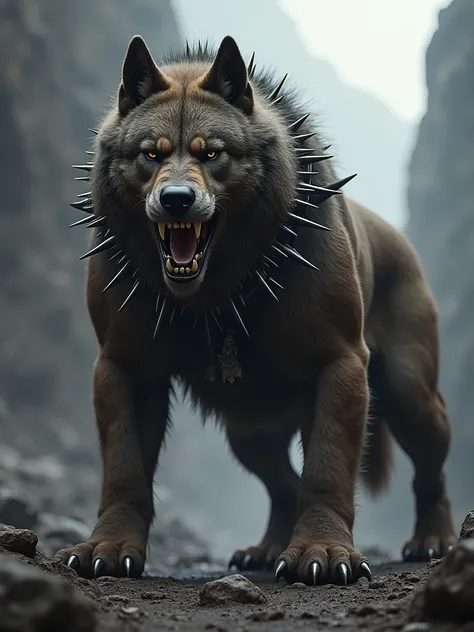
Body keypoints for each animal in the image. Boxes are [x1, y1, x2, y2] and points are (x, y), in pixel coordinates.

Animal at [57, 37, 458, 584]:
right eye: (150, 154)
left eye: (212, 153)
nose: (176, 199)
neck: (215, 293)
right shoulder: (125, 367)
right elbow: (124, 469)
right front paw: (110, 546)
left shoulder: (339, 363)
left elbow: (326, 469)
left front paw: (322, 552)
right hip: (250, 431)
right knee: (282, 483)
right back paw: (268, 550)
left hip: (409, 394)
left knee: (428, 470)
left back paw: (433, 540)